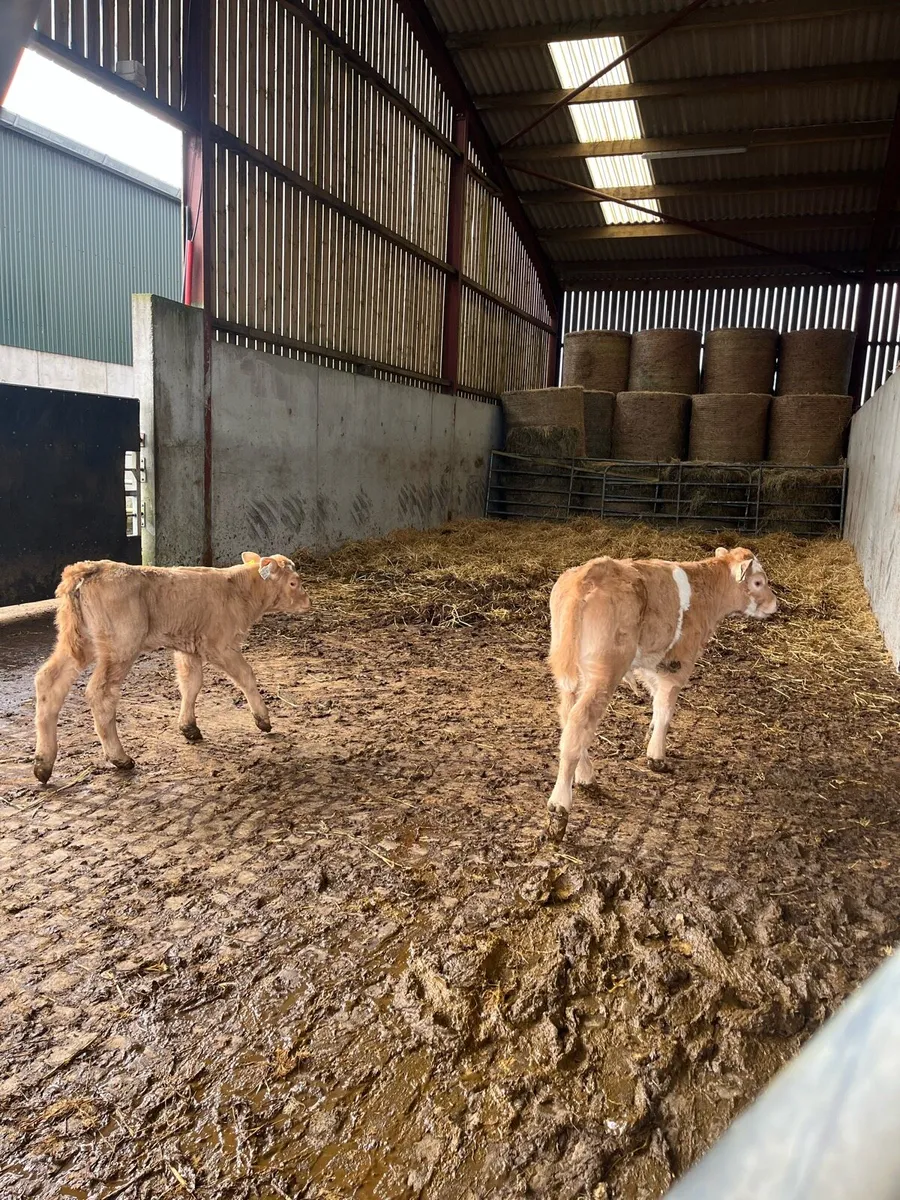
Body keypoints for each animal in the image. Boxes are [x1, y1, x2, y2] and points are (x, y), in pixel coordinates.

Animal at [33, 553, 311, 783]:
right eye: (293, 583)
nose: (307, 601)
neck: (238, 589)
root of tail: (89, 568)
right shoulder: (220, 645)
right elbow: (246, 676)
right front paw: (263, 720)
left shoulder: (189, 648)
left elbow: (191, 684)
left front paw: (189, 727)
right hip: (120, 646)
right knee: (100, 694)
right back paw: (119, 758)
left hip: (78, 643)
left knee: (48, 681)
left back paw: (43, 764)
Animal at [545, 546, 777, 838]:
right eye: (758, 582)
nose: (774, 604)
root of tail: (589, 575)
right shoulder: (677, 664)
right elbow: (666, 710)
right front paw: (657, 756)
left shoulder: (655, 664)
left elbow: (656, 704)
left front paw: (650, 736)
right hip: (604, 670)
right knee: (580, 720)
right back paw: (559, 807)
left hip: (570, 670)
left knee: (568, 715)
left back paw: (585, 776)